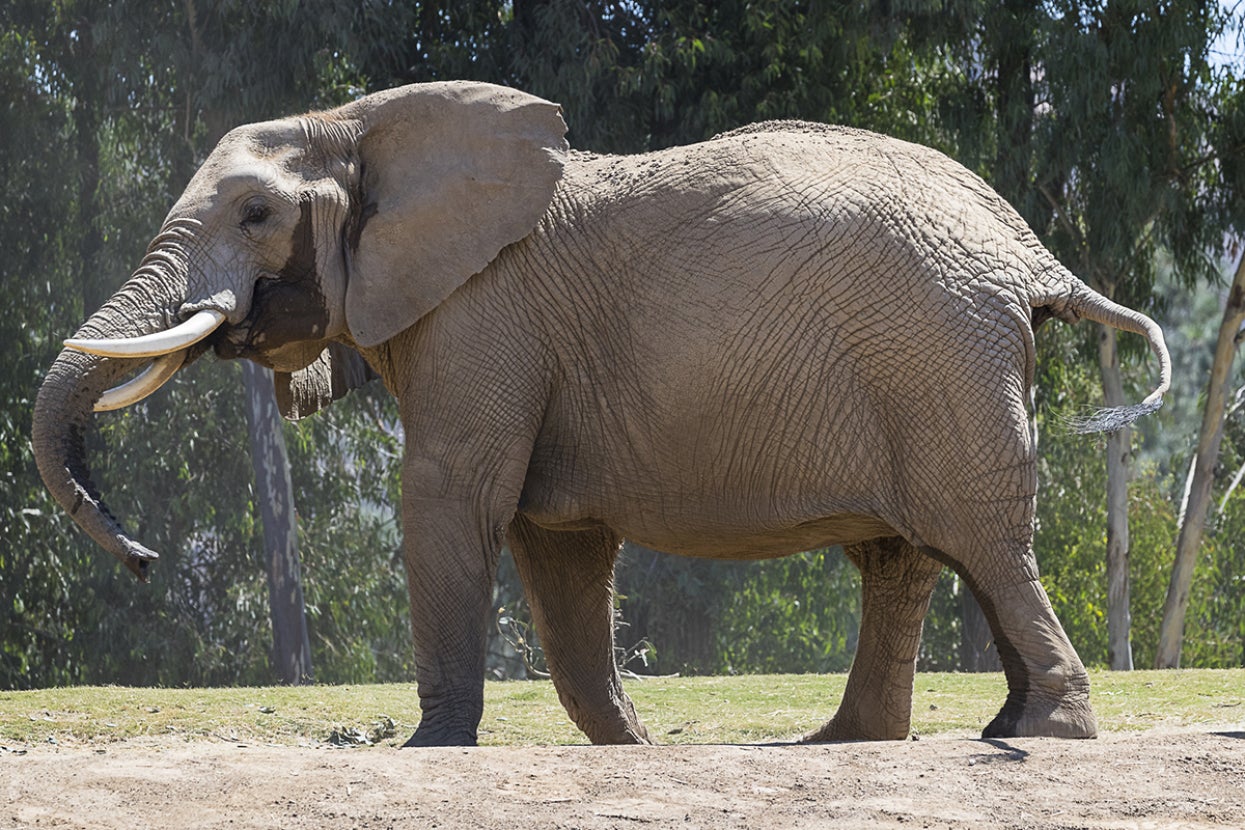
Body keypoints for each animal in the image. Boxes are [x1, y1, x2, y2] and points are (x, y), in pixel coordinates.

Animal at [33, 81, 1170, 747]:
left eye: (257, 214)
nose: (142, 558)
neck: (365, 124)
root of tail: (1028, 253)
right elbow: (557, 542)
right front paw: (630, 745)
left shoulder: (484, 314)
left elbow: (451, 499)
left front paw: (433, 750)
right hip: (931, 362)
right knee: (907, 554)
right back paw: (862, 738)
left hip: (938, 359)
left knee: (981, 538)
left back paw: (1043, 730)